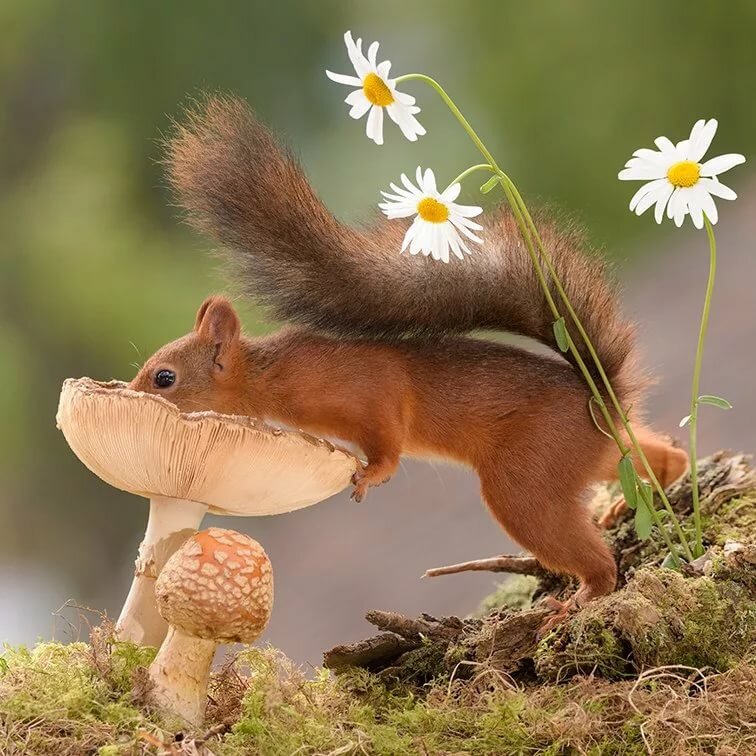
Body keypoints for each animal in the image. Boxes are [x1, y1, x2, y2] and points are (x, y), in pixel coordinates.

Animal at [130, 96, 688, 624]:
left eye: (164, 377)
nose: (129, 397)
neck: (272, 375)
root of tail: (601, 398)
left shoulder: (370, 389)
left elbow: (387, 439)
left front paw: (372, 475)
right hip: (598, 456)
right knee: (651, 458)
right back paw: (653, 485)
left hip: (528, 478)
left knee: (591, 556)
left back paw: (584, 594)